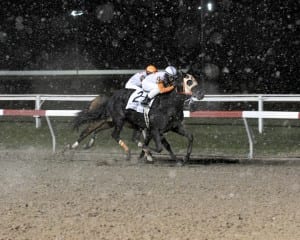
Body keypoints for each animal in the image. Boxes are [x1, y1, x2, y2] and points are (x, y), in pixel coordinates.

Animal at [71, 72, 205, 164]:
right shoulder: (155, 129)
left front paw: (183, 159)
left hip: (112, 122)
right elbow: (158, 147)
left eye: (195, 80)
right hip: (118, 120)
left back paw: (82, 145)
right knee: (111, 134)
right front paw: (147, 154)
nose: (201, 94)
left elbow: (189, 137)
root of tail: (111, 97)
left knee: (95, 130)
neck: (168, 104)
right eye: (189, 81)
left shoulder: (174, 126)